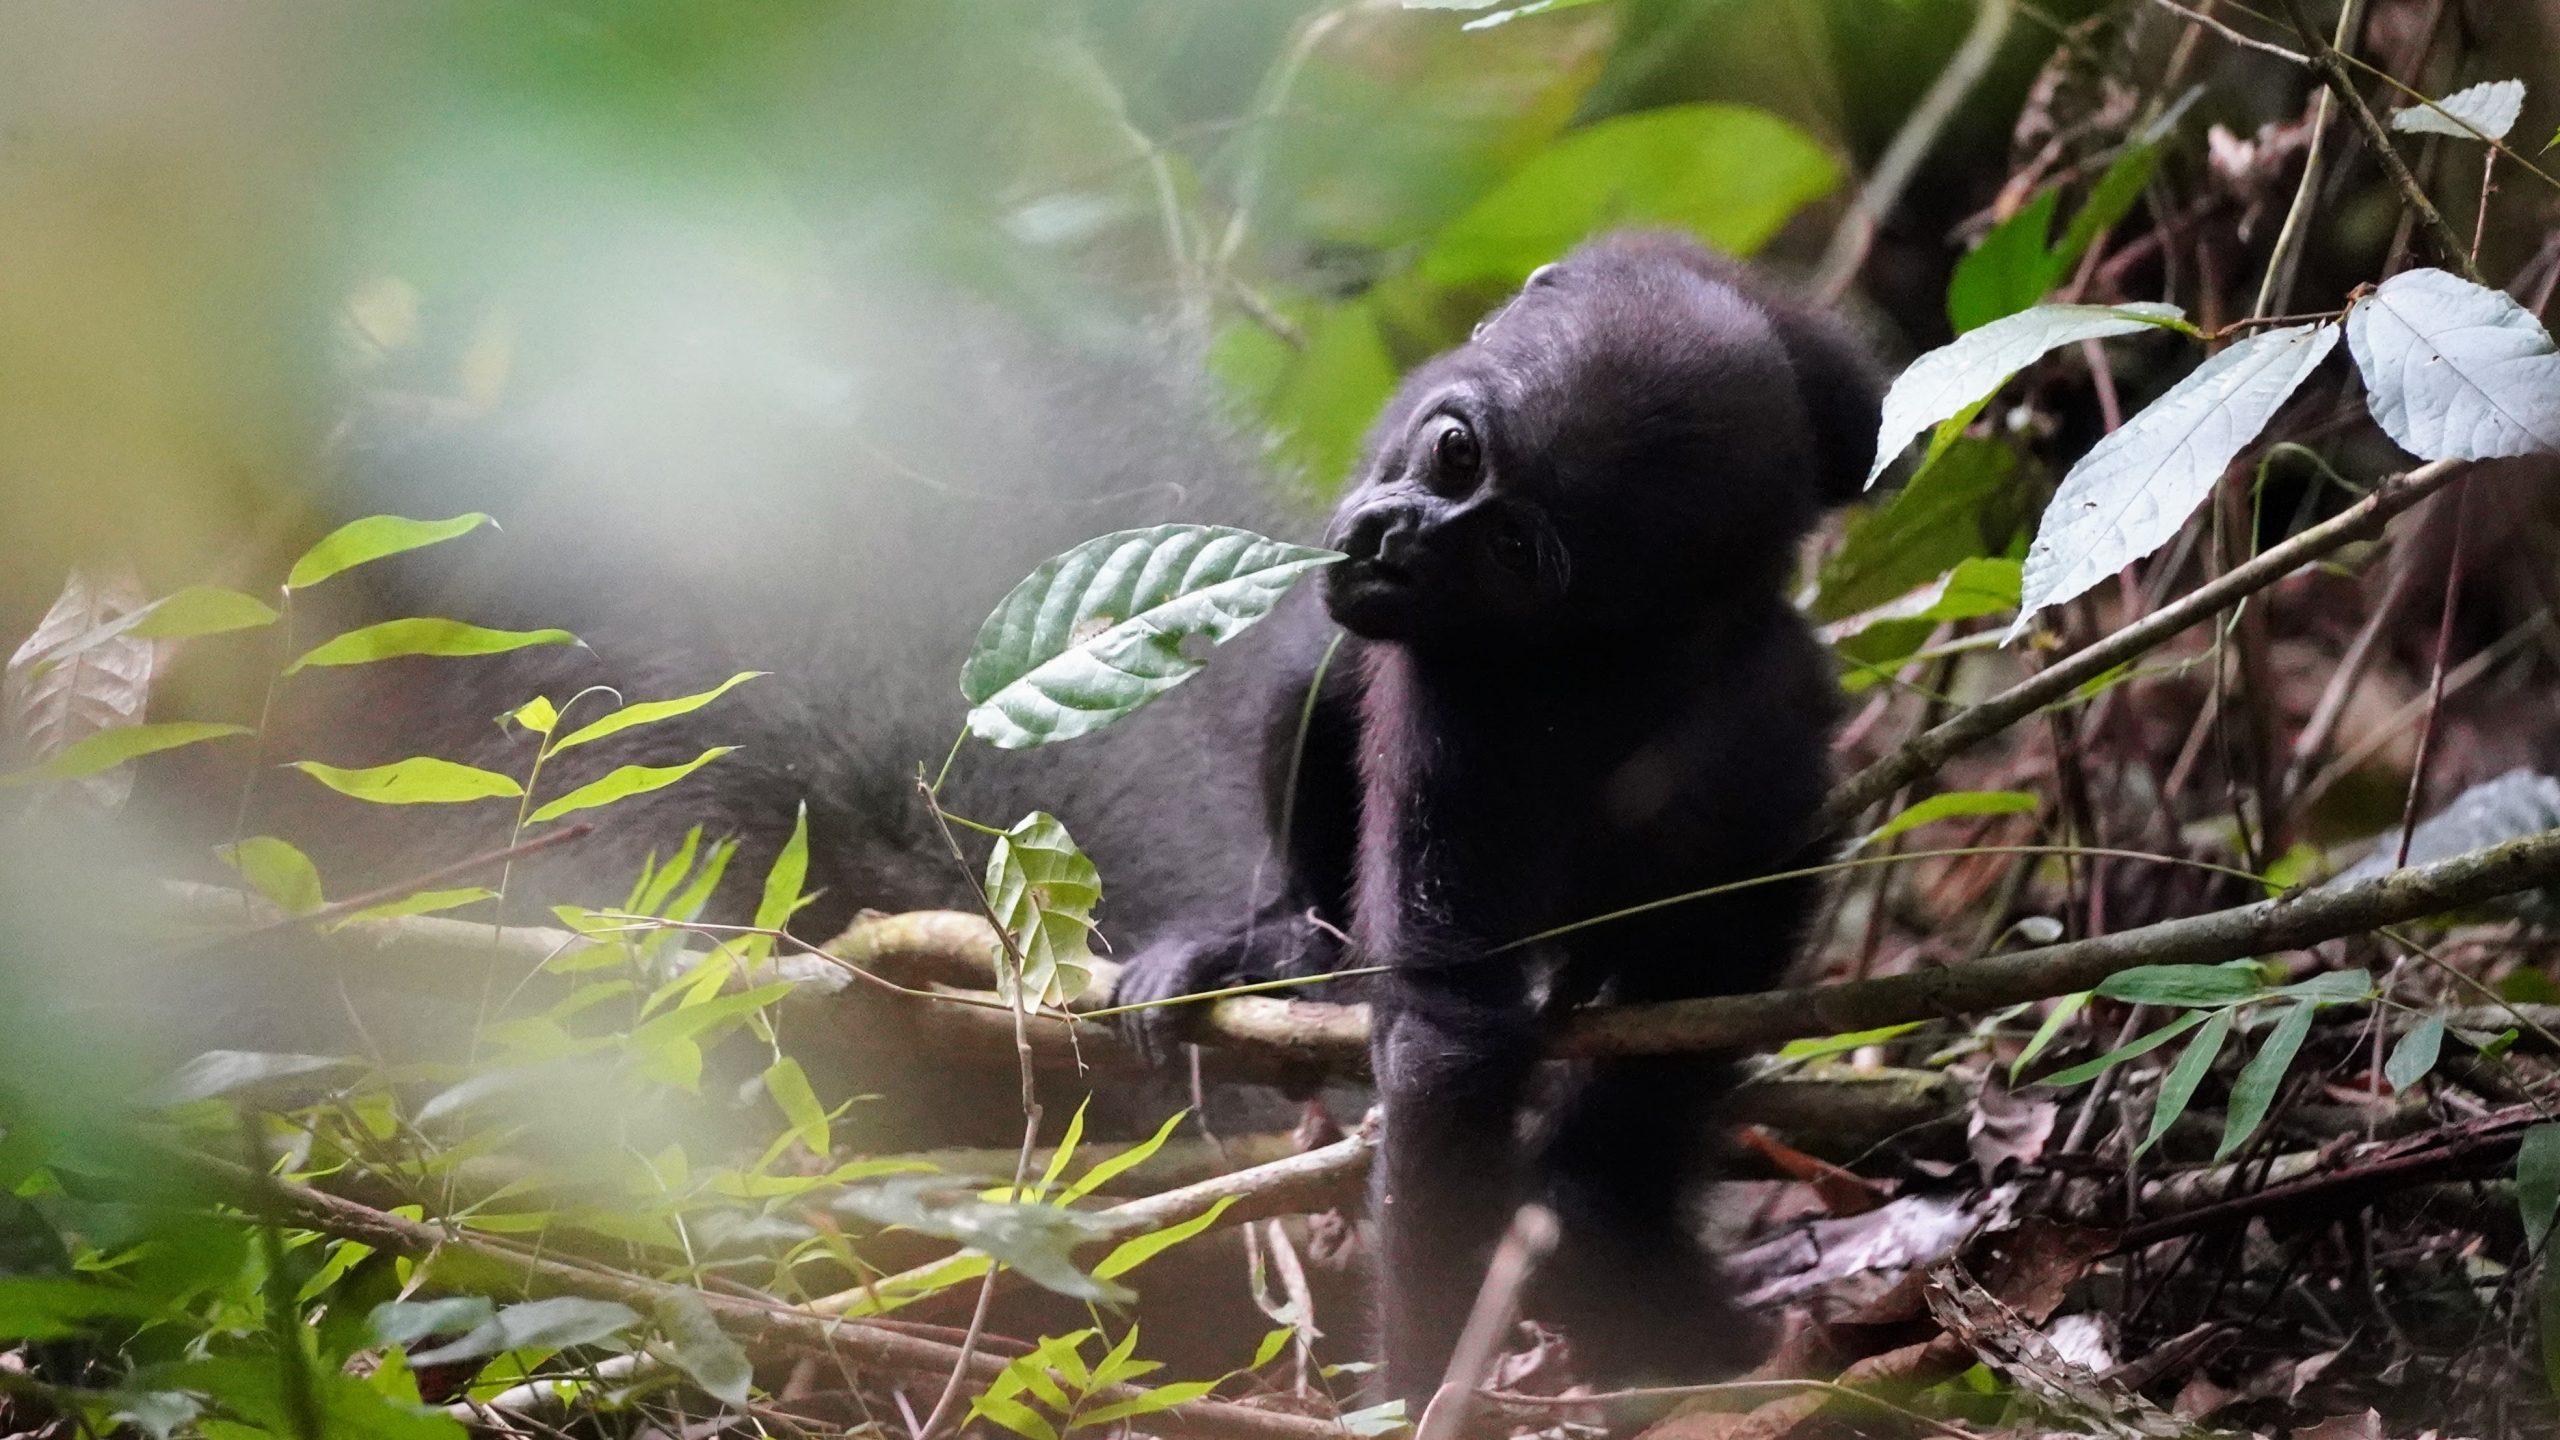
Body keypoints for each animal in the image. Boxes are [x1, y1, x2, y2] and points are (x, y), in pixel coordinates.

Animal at [1109, 231, 1883, 1404]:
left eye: (1513, 551)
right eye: (1456, 452)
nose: (1396, 542)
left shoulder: (1463, 698)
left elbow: (1449, 1038)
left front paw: (1414, 1389)